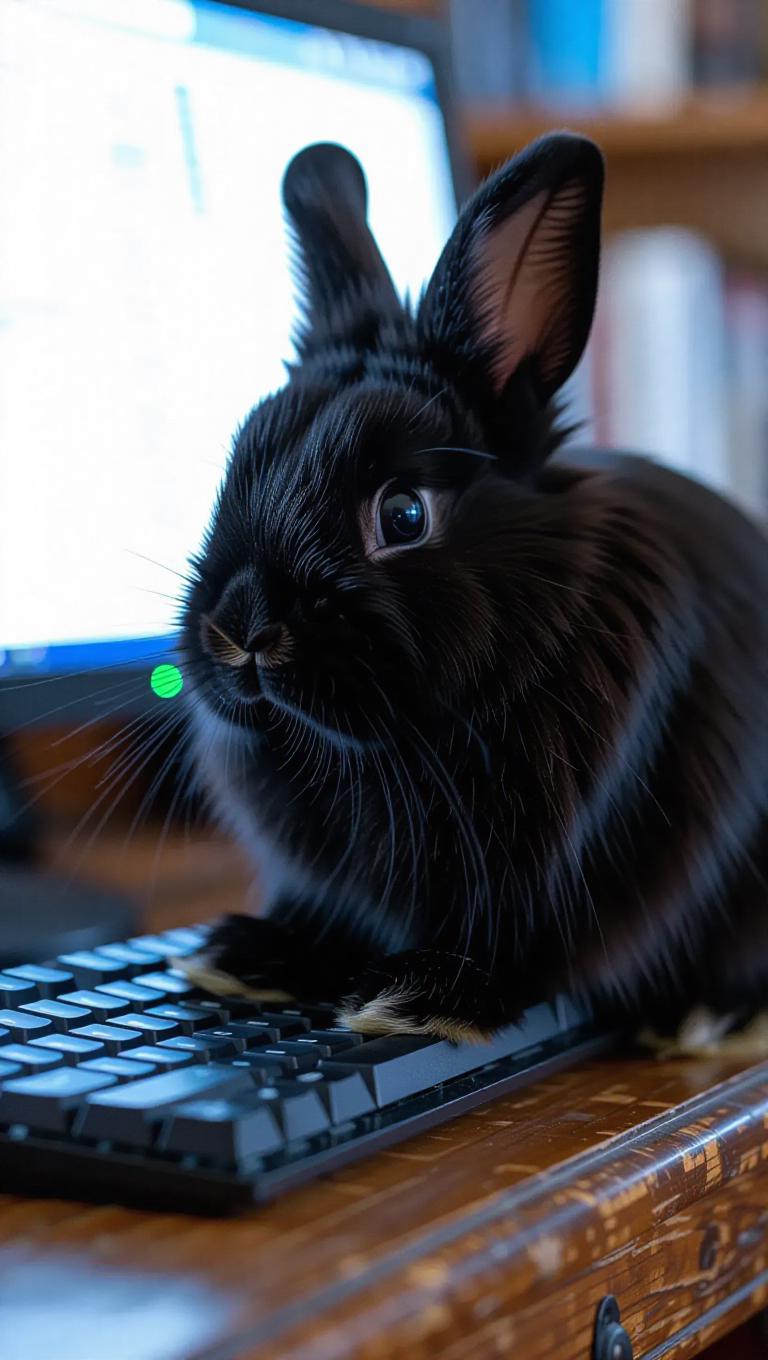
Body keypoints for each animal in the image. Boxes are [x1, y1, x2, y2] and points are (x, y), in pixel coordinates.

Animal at [177, 134, 768, 1045]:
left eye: (405, 514)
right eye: (235, 472)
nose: (242, 633)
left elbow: (518, 953)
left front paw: (419, 997)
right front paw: (243, 958)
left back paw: (699, 1016)